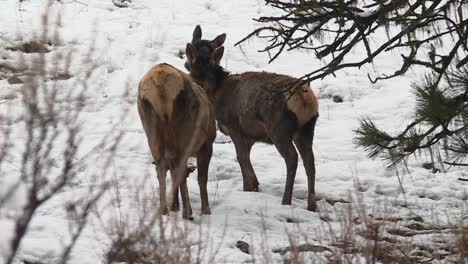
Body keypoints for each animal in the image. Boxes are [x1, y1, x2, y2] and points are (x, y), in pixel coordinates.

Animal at [135, 62, 216, 219]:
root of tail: (160, 80)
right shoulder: (207, 143)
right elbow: (202, 178)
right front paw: (205, 210)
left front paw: (175, 206)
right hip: (182, 133)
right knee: (180, 169)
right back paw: (187, 212)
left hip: (151, 128)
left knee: (162, 168)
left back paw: (164, 210)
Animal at [185, 25, 320, 211]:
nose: (186, 65)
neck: (215, 93)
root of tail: (305, 100)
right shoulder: (249, 135)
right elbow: (246, 163)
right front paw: (254, 186)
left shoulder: (235, 128)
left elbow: (242, 160)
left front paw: (248, 189)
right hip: (306, 129)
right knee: (310, 161)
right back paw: (311, 204)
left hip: (279, 129)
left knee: (292, 159)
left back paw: (286, 201)